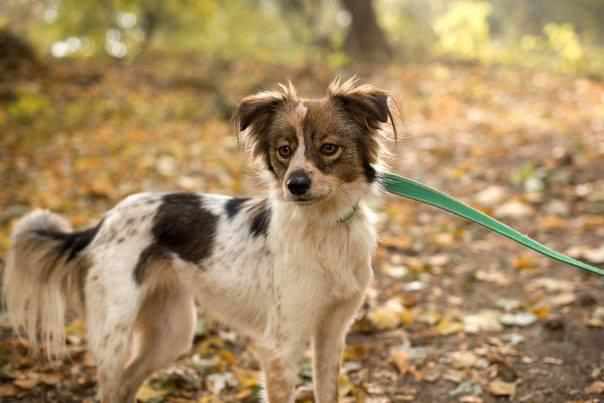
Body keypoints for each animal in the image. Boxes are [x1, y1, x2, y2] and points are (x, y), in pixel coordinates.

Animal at [2, 78, 396, 403]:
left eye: (329, 148)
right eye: (284, 150)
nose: (295, 185)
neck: (326, 228)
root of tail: (104, 221)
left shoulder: (332, 334)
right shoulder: (281, 346)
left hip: (171, 331)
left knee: (129, 382)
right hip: (114, 332)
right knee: (112, 385)